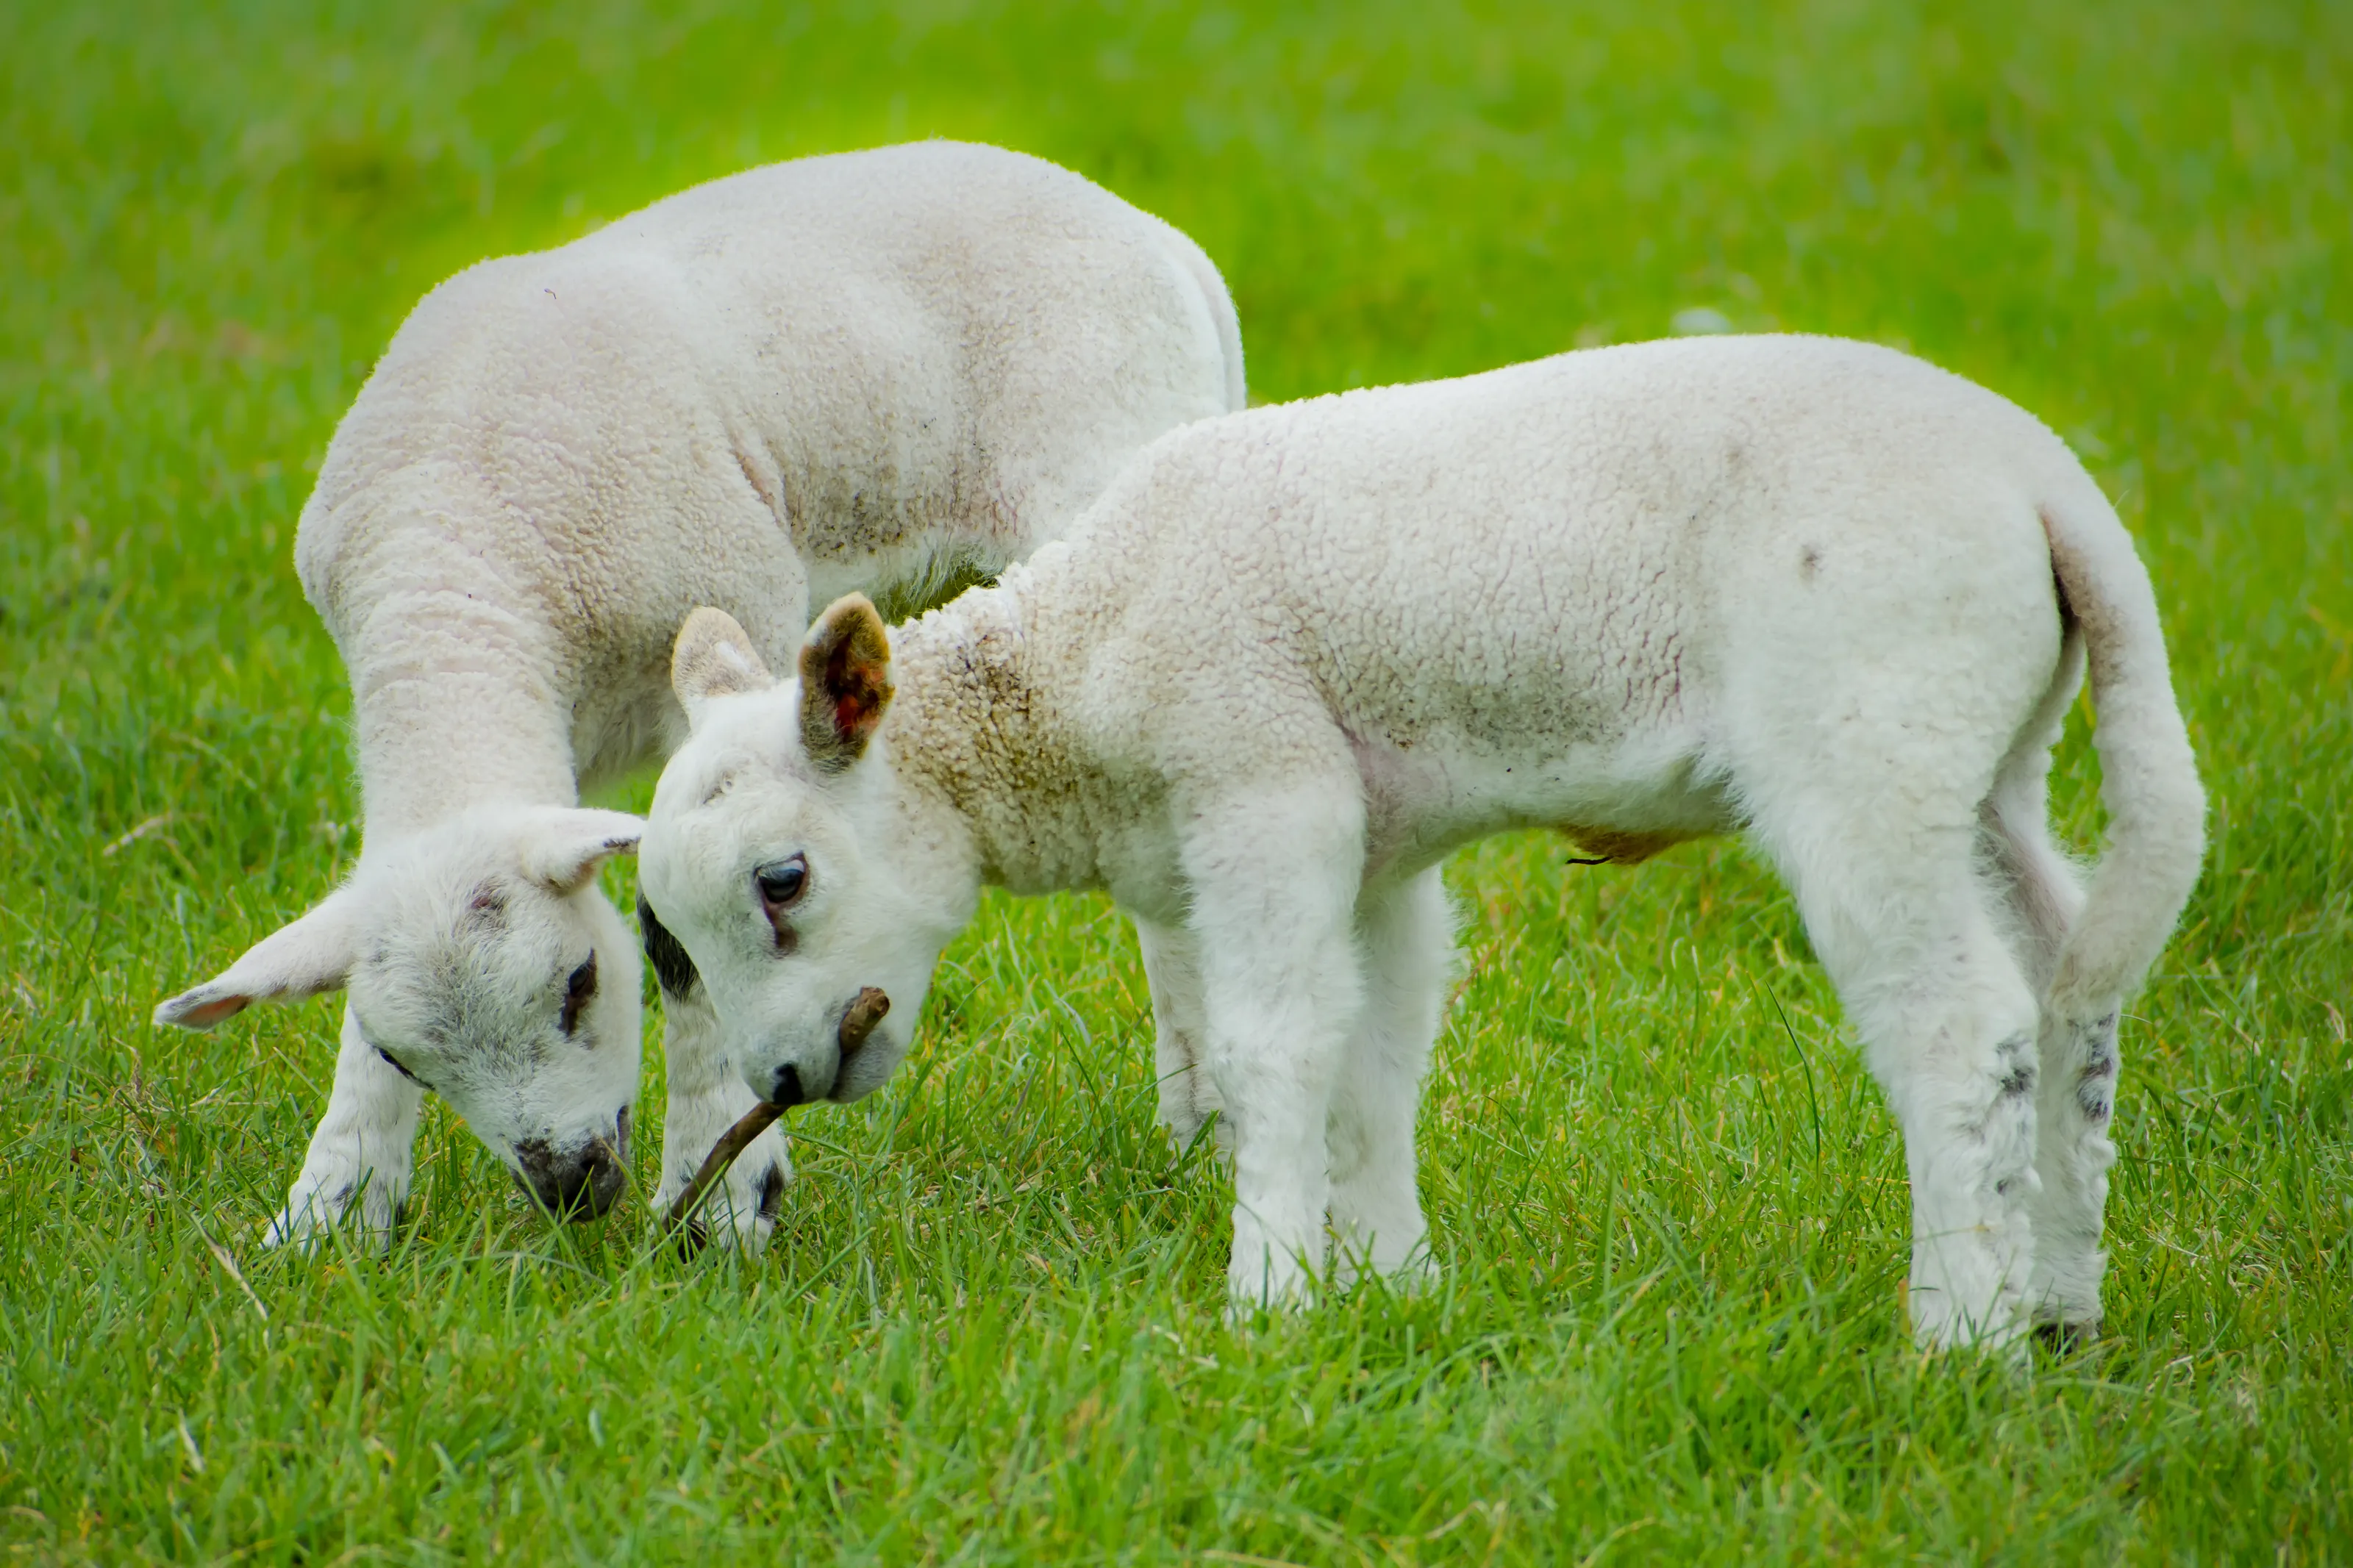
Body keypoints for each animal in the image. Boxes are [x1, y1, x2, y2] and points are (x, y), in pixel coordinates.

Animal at [150, 141, 1246, 1250]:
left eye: (579, 986)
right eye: (404, 1055)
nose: (573, 1185)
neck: (453, 557)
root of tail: (1160, 239)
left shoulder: (735, 618)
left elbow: (679, 940)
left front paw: (724, 1200)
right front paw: (332, 1210)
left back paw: (1203, 1123)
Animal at [635, 333, 2204, 1349]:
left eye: (784, 880)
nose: (784, 1079)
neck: (1076, 672)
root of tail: (2051, 491)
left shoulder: (1263, 781)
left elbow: (1273, 1046)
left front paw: (1267, 1302)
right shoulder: (1380, 846)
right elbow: (1375, 1057)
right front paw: (1393, 1284)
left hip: (1869, 735)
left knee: (1963, 1026)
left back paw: (1961, 1336)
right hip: (1983, 757)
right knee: (2073, 992)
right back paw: (2063, 1302)